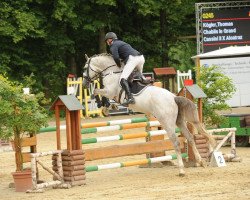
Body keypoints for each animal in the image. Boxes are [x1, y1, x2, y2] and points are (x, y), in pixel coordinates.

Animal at [83, 53, 216, 177]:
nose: (84, 83)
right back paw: (200, 161)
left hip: (167, 122)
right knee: (190, 138)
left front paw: (101, 104)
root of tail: (173, 97)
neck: (111, 72)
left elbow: (97, 91)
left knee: (176, 142)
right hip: (179, 121)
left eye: (85, 68)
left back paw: (182, 170)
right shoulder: (111, 93)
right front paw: (108, 107)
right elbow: (101, 95)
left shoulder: (110, 92)